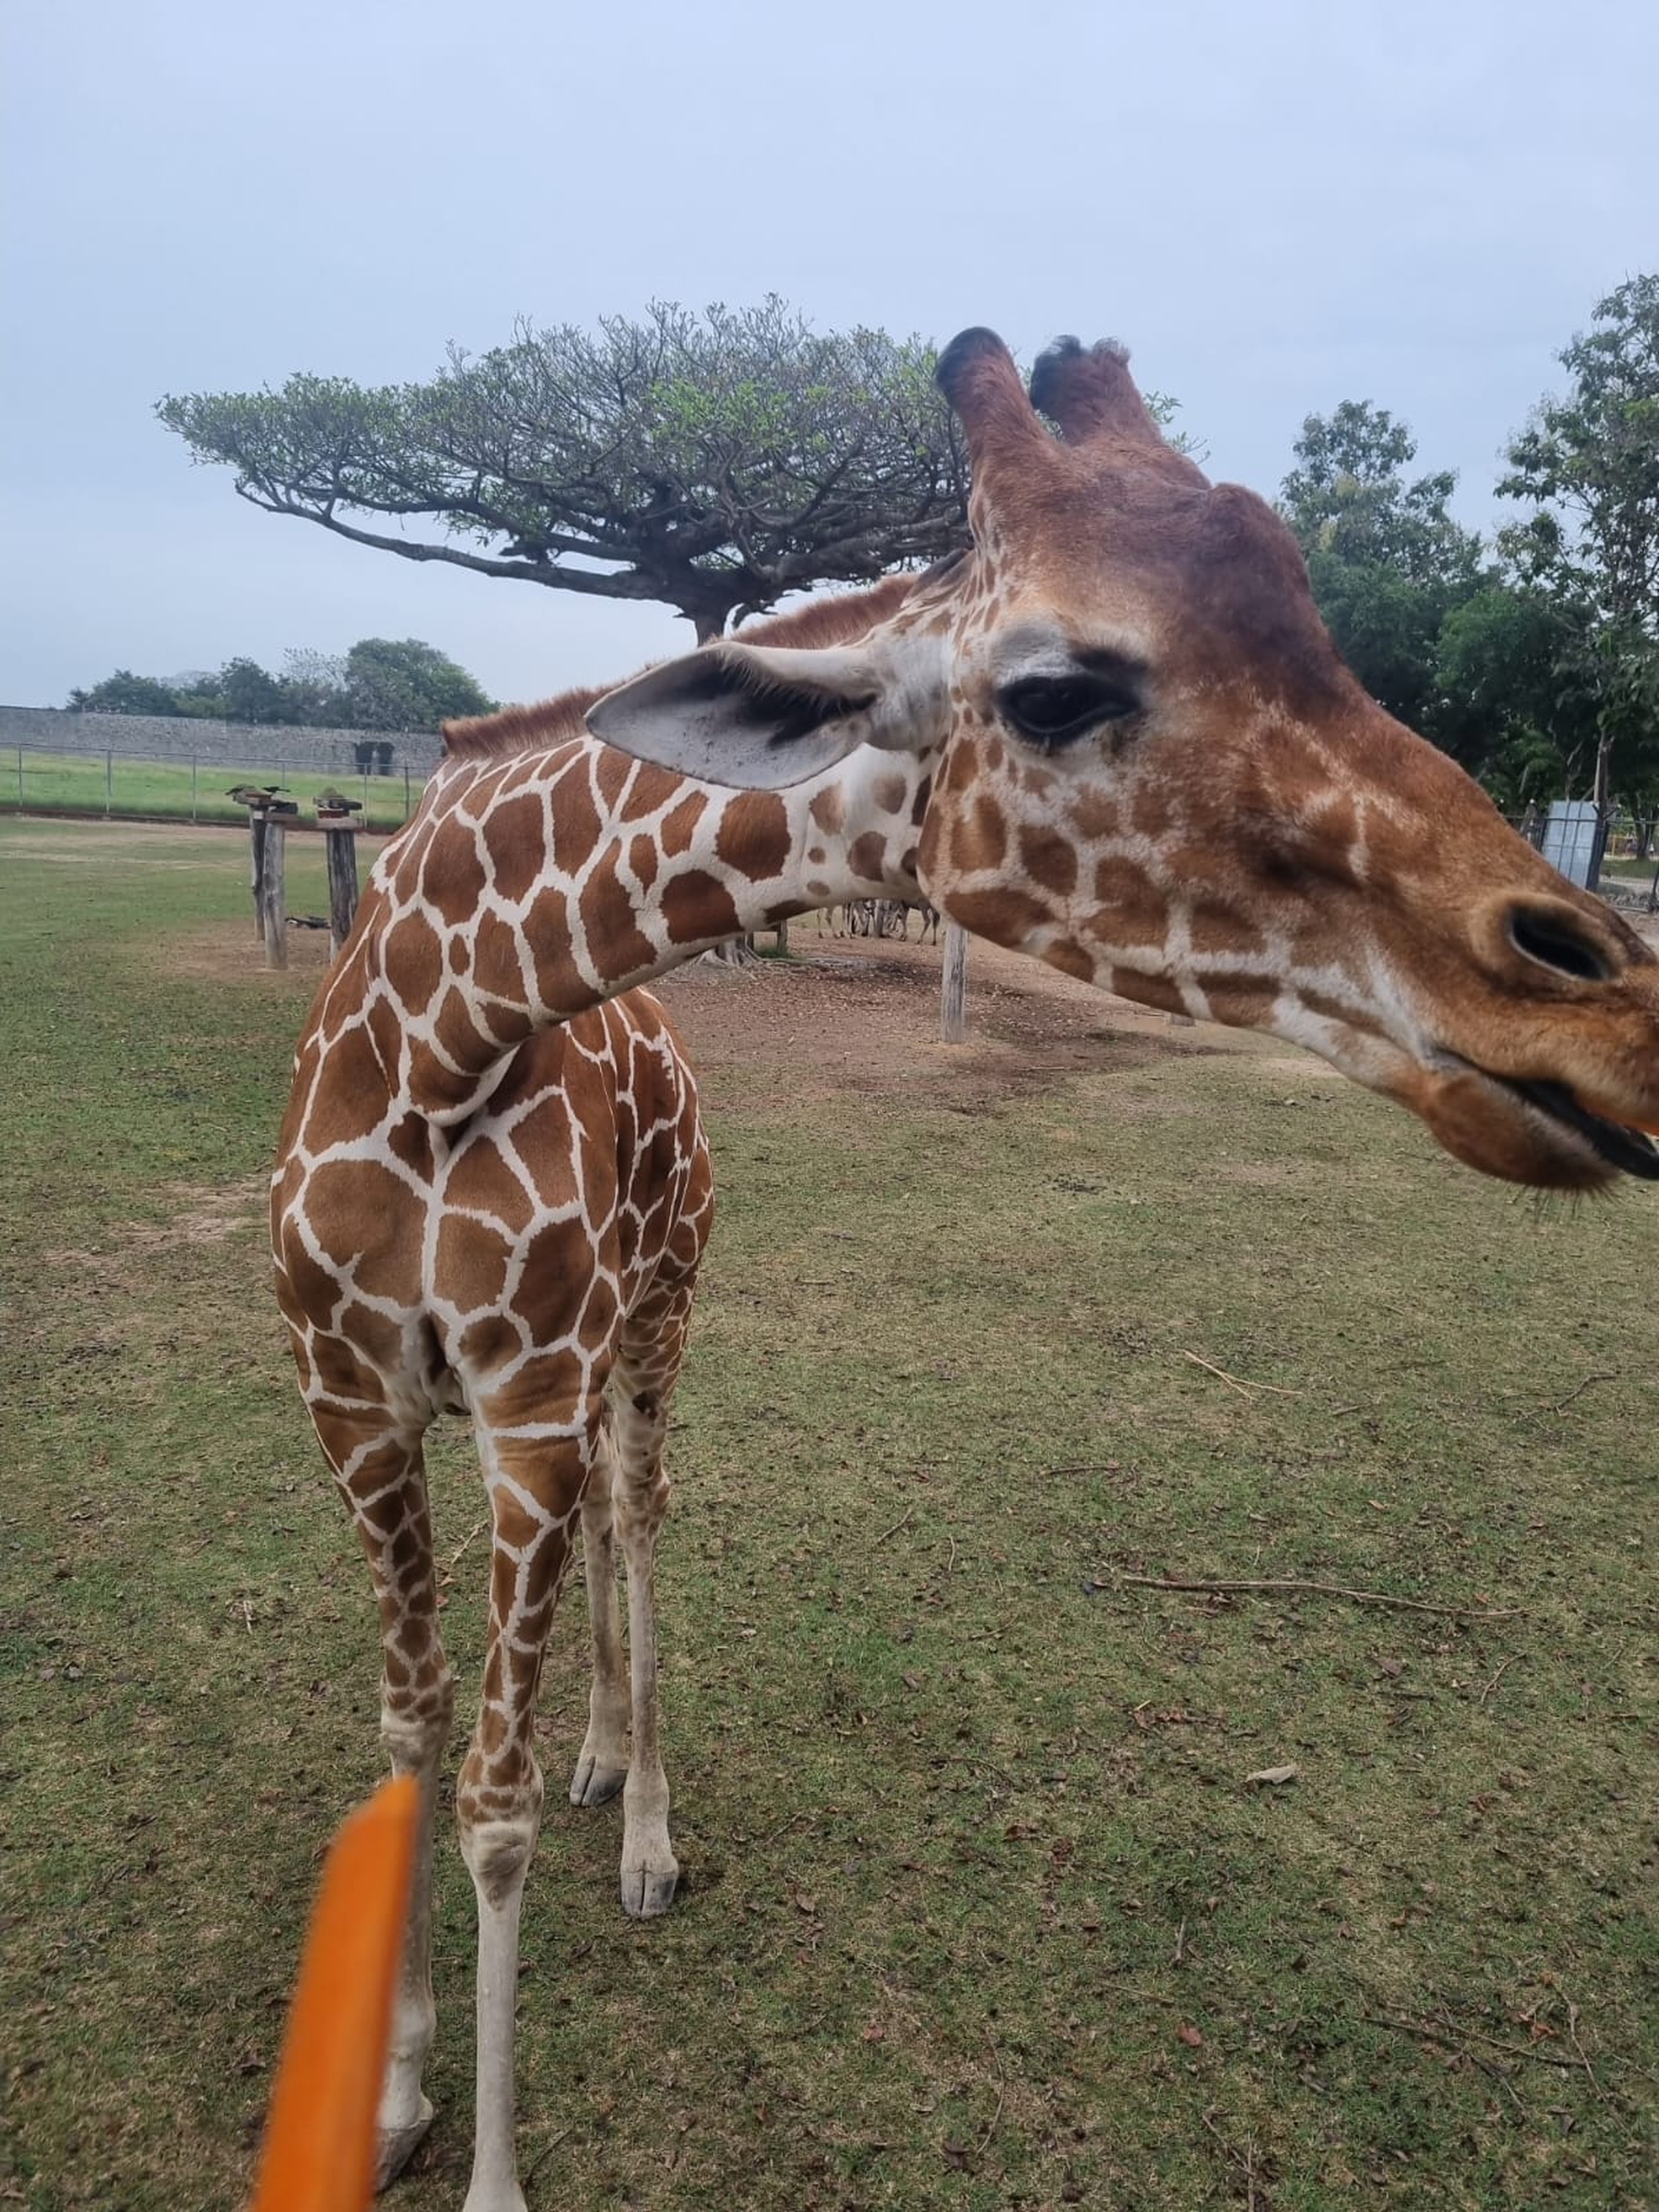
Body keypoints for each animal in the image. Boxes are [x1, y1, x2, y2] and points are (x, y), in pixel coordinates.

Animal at [271, 322, 1659, 2212]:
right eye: (1057, 688)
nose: (1606, 1016)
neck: (436, 1034)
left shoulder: (527, 1393)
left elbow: (486, 1790)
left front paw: (485, 2152)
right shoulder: (352, 1402)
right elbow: (411, 1735)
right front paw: (396, 2093)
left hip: (652, 1317)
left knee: (643, 1512)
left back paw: (636, 1813)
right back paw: (605, 1762)